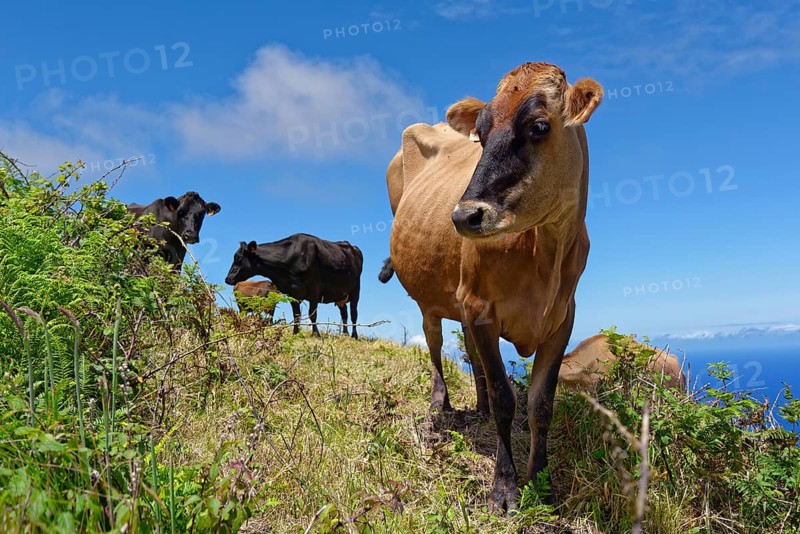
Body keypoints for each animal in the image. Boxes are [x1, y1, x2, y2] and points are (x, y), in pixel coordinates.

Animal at [224, 234, 363, 339]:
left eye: (239, 258)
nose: (228, 279)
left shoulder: (314, 288)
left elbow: (312, 313)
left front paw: (316, 334)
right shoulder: (293, 292)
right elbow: (296, 314)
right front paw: (295, 333)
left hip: (356, 289)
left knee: (353, 313)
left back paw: (354, 336)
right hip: (341, 295)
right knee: (344, 313)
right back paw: (345, 334)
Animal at [379, 62, 603, 510]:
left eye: (539, 126)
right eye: (480, 136)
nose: (464, 216)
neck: (545, 250)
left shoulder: (562, 319)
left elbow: (541, 404)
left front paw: (542, 480)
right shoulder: (481, 307)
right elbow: (504, 397)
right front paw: (504, 487)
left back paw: (476, 406)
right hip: (432, 299)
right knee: (434, 343)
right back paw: (441, 404)